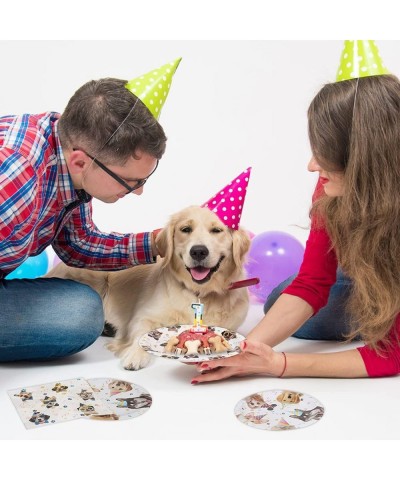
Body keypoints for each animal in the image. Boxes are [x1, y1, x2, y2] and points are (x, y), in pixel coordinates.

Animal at [47, 204, 250, 370]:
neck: (199, 292)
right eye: (186, 229)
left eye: (217, 230)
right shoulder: (143, 316)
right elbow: (140, 334)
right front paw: (135, 356)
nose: (198, 251)